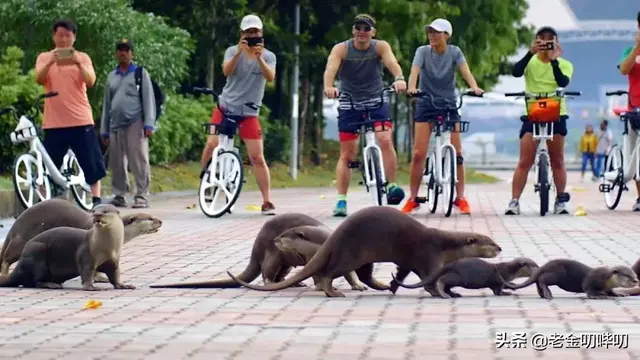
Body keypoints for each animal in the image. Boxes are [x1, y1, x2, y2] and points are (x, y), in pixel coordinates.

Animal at [0, 204, 135, 292]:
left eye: (105, 211)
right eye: (93, 210)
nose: (97, 214)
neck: (106, 248)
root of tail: (20, 264)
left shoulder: (113, 259)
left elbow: (114, 274)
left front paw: (123, 285)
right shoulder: (86, 254)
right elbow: (86, 272)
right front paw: (90, 287)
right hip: (36, 250)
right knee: (35, 280)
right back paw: (51, 284)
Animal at [3, 198, 162, 280]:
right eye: (150, 218)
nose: (160, 221)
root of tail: (17, 223)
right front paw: (99, 277)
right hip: (23, 238)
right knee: (7, 257)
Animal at [228, 207, 502, 296]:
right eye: (488, 242)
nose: (500, 247)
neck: (445, 244)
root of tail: (335, 235)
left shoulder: (409, 260)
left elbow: (402, 272)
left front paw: (393, 286)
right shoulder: (430, 256)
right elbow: (429, 280)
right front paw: (442, 293)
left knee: (362, 274)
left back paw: (378, 286)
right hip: (351, 254)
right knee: (331, 272)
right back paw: (333, 292)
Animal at [392, 258, 536, 298]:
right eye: (534, 265)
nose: (538, 266)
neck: (507, 269)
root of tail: (450, 264)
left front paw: (511, 286)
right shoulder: (499, 279)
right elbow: (498, 290)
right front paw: (507, 292)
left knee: (447, 285)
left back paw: (454, 294)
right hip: (458, 277)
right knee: (441, 280)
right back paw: (445, 295)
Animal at [502, 258, 636, 300]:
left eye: (634, 274)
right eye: (627, 275)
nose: (636, 281)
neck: (606, 278)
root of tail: (545, 265)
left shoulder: (607, 286)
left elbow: (610, 291)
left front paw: (618, 294)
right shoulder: (591, 281)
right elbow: (588, 290)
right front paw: (598, 295)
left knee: (537, 280)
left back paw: (542, 294)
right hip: (557, 274)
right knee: (542, 280)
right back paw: (547, 294)